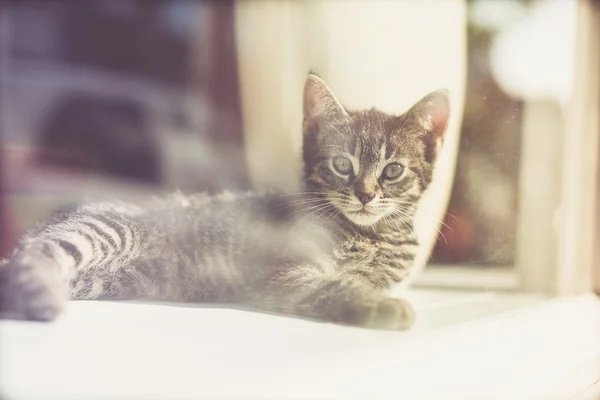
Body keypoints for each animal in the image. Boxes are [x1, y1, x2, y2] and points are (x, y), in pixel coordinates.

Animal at [0, 73, 450, 330]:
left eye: (392, 171)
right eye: (342, 164)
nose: (365, 194)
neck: (369, 234)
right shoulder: (286, 270)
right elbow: (332, 286)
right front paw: (380, 306)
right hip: (106, 231)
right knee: (37, 252)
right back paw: (41, 293)